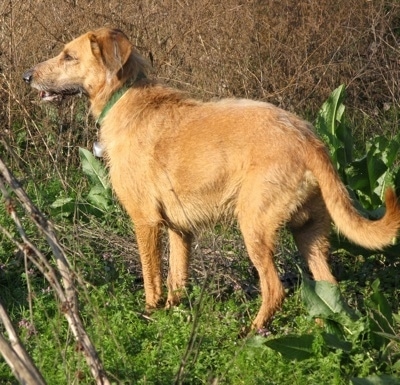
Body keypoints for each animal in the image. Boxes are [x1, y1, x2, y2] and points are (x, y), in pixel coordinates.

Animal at [23, 28, 400, 328]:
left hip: (254, 228)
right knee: (327, 290)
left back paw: (252, 333)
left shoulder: (145, 221)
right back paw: (322, 330)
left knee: (274, 288)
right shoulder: (179, 230)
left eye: (68, 56)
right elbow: (176, 279)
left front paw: (150, 313)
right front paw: (172, 314)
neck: (124, 97)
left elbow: (151, 276)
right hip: (310, 236)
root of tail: (310, 140)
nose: (26, 76)